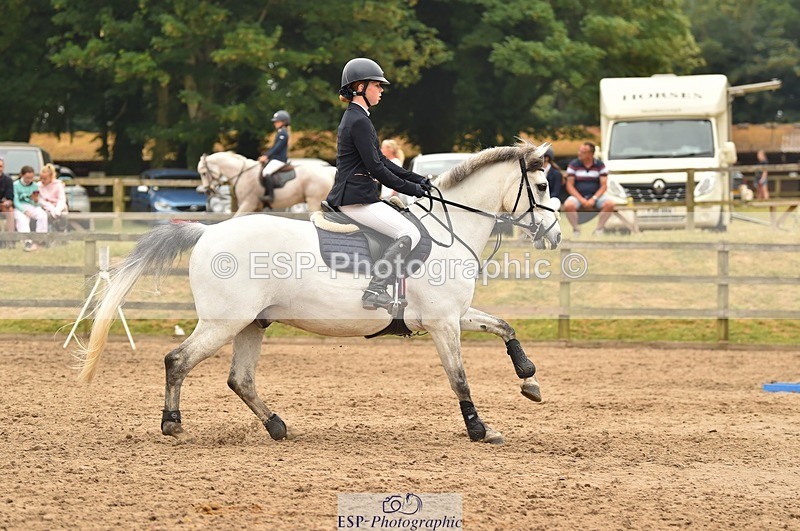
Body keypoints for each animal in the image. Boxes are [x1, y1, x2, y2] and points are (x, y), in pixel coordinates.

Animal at [197, 151, 336, 215]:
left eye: (203, 173)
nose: (207, 191)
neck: (242, 173)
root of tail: (327, 170)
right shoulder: (256, 208)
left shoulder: (248, 204)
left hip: (313, 202)